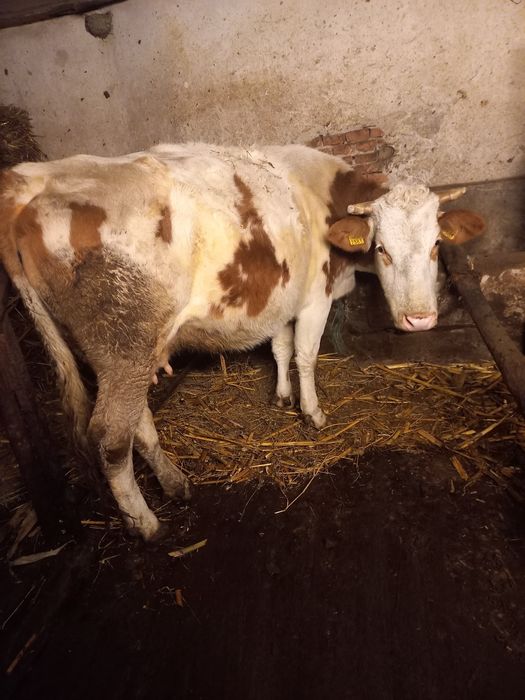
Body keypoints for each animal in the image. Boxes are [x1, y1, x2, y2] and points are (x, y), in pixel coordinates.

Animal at [0, 143, 484, 540]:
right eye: (381, 248)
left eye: (436, 244)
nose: (420, 319)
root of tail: (33, 178)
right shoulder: (314, 296)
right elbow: (306, 355)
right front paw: (312, 412)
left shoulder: (282, 300)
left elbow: (281, 348)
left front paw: (282, 396)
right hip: (124, 344)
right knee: (111, 439)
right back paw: (146, 523)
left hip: (118, 354)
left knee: (136, 422)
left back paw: (174, 482)